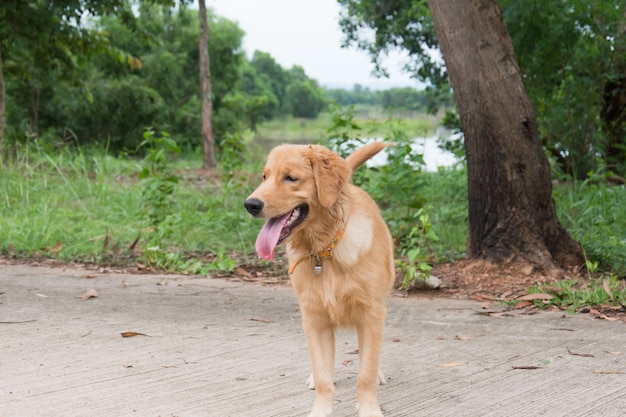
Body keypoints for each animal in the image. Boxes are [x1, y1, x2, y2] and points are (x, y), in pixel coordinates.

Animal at [243, 142, 392, 416]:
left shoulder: (371, 314)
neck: (325, 251)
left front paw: (369, 408)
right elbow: (324, 376)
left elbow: (365, 373)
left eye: (290, 178)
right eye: (264, 177)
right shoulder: (314, 319)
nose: (250, 204)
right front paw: (321, 408)